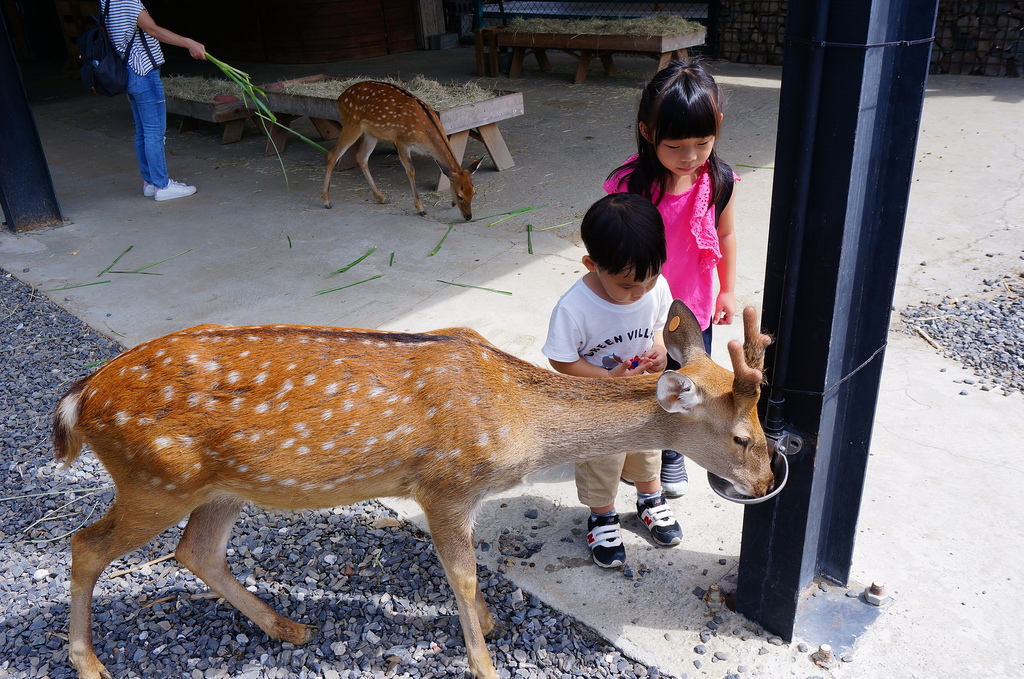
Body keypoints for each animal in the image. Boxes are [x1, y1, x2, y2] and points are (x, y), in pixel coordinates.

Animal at [51, 301, 770, 679]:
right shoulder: (445, 482)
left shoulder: (458, 494)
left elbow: (469, 571)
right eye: (741, 435)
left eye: (761, 424)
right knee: (85, 544)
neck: (518, 421)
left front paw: (490, 625)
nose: (766, 479)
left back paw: (291, 627)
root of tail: (79, 399)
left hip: (219, 486)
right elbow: (463, 572)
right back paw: (90, 664)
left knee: (194, 551)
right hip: (153, 479)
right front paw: (485, 662)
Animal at [319, 81, 483, 220]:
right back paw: (326, 201)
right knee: (333, 154)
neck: (424, 132)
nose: (468, 216)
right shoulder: (402, 141)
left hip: (371, 134)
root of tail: (340, 98)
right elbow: (411, 171)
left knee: (361, 157)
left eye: (473, 192)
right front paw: (420, 208)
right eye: (460, 195)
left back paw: (381, 198)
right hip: (351, 124)